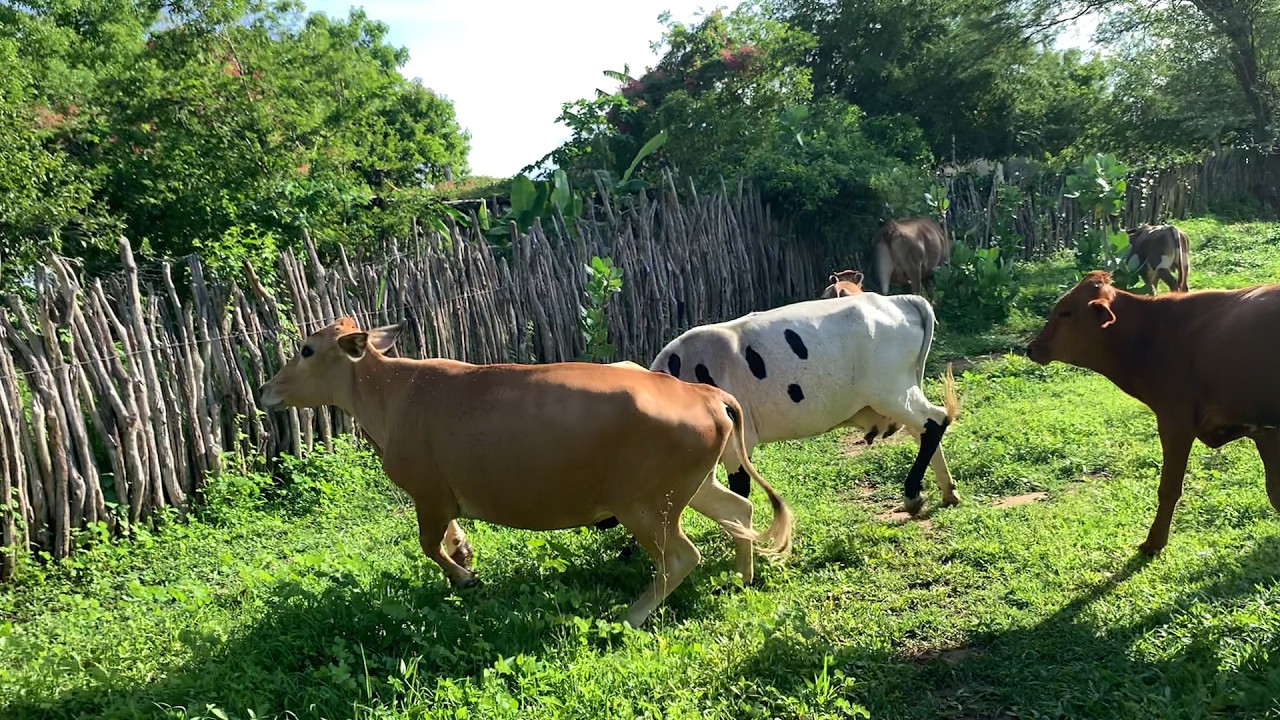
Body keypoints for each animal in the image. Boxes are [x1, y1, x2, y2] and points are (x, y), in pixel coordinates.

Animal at [259, 318, 794, 627]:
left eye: (306, 349)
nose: (266, 389)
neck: (394, 392)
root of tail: (702, 392)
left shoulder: (427, 494)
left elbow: (429, 544)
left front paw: (465, 578)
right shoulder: (439, 497)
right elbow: (448, 537)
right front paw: (465, 555)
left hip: (645, 506)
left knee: (682, 556)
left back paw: (632, 615)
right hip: (692, 486)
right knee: (739, 511)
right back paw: (742, 578)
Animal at [646, 293, 961, 515]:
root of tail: (898, 300)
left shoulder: (738, 443)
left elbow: (739, 491)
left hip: (891, 392)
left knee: (934, 421)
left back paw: (913, 493)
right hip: (897, 396)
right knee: (925, 428)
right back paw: (946, 491)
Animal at [1026, 271, 1280, 554]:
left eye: (1066, 312)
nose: (1031, 347)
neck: (1150, 335)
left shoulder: (1175, 422)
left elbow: (1169, 488)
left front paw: (1154, 542)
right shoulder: (1264, 429)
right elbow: (1275, 489)